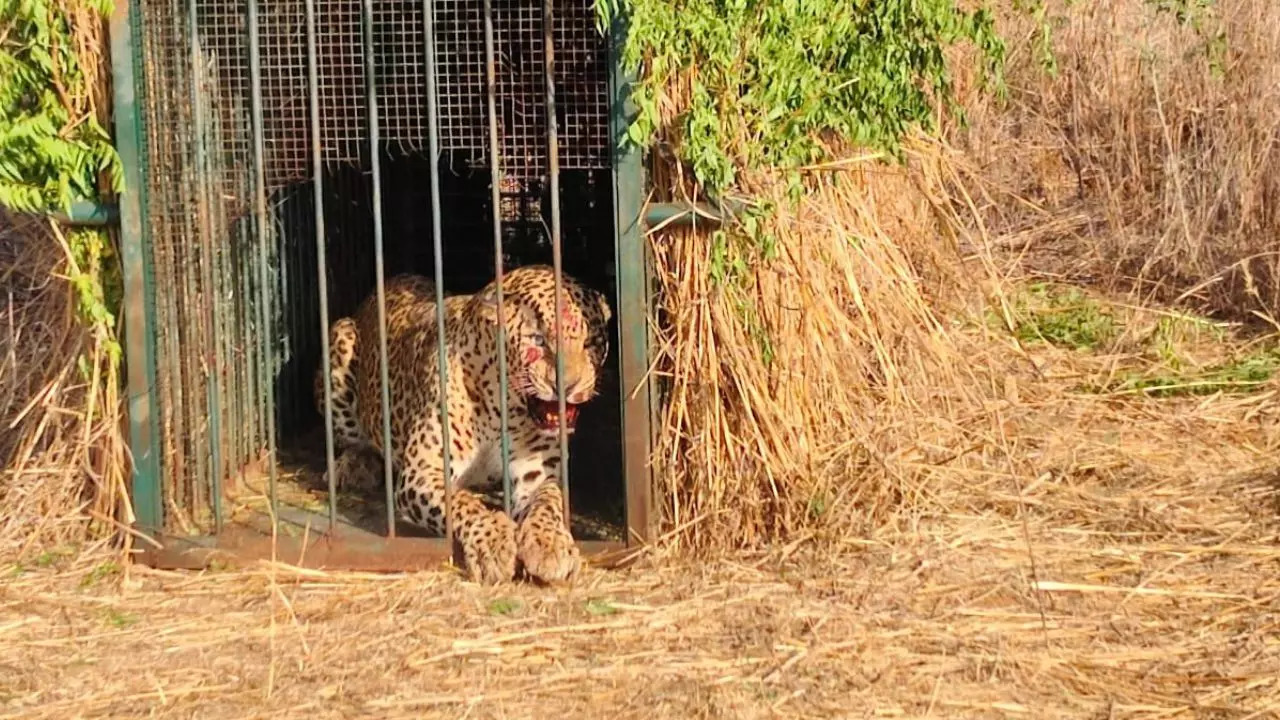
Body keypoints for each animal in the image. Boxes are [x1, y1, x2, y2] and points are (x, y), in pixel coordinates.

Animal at [309, 263, 609, 584]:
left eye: (590, 342)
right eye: (537, 340)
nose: (567, 386)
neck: (504, 409)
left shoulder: (537, 476)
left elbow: (548, 503)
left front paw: (550, 544)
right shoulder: (423, 471)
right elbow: (462, 503)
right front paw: (493, 544)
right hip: (340, 335)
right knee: (353, 440)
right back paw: (354, 467)